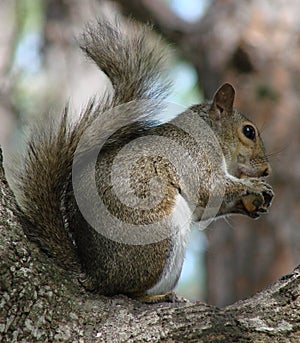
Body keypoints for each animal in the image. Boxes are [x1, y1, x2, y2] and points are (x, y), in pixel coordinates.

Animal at [14, 20, 274, 302]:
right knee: (128, 289)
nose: (266, 170)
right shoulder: (193, 155)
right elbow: (210, 188)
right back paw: (156, 296)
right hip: (158, 230)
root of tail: (95, 274)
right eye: (248, 131)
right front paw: (254, 187)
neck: (210, 132)